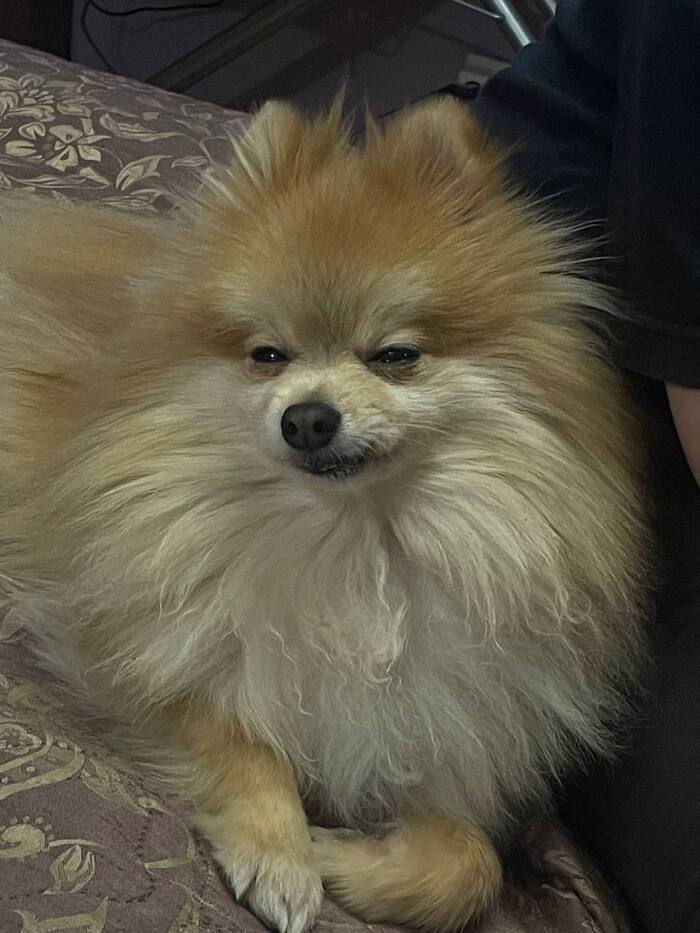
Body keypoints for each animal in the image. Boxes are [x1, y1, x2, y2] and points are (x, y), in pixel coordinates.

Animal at [0, 97, 647, 932]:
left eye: (395, 355)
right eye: (268, 355)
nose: (306, 417)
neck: (352, 545)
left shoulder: (441, 739)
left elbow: (472, 864)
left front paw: (340, 853)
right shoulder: (138, 654)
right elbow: (240, 742)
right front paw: (282, 850)